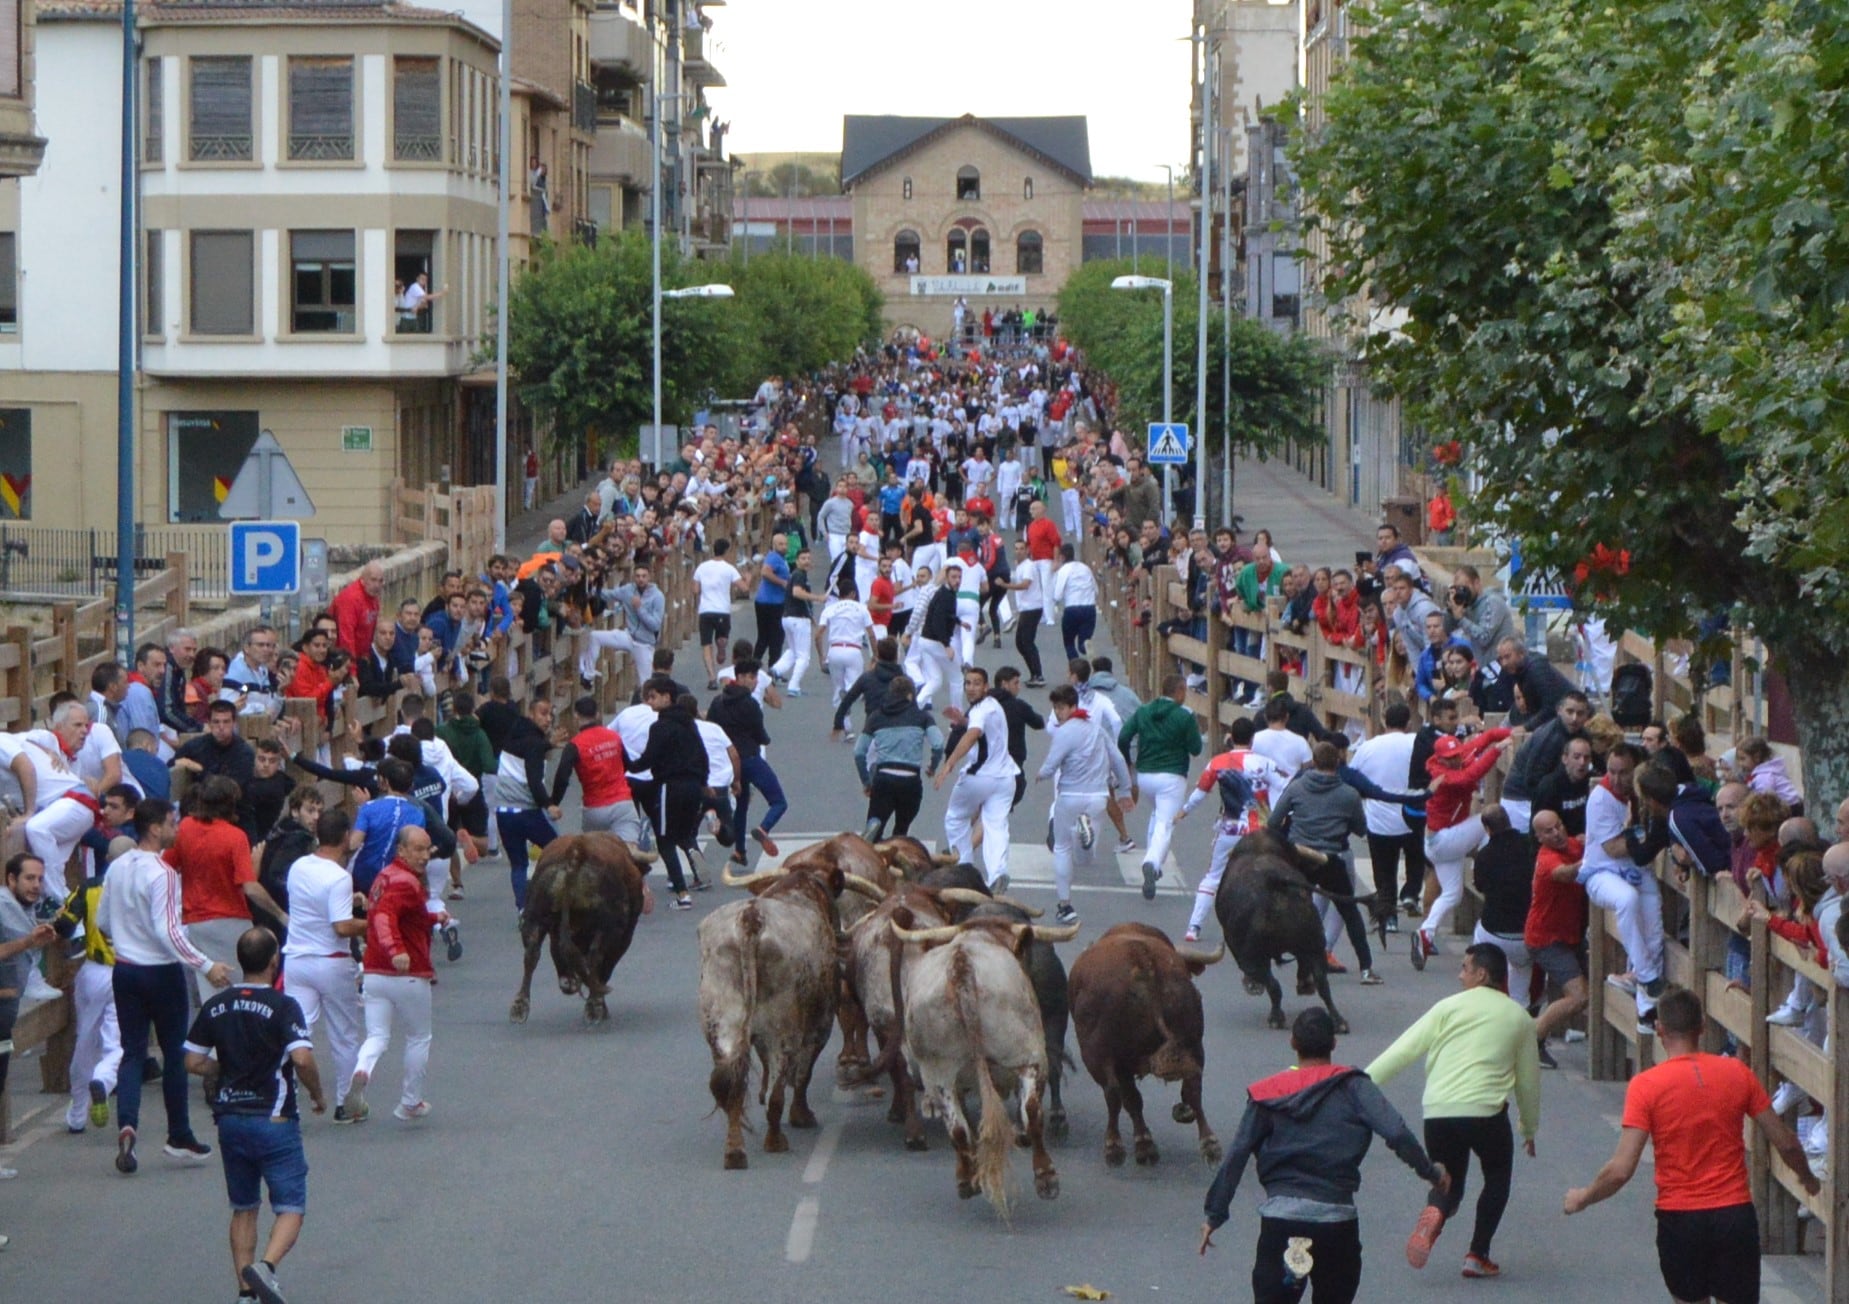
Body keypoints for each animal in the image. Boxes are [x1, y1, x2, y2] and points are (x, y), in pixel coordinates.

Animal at [506, 836, 650, 1028]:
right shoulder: (623, 937)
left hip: (535, 917)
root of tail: (576, 851)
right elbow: (602, 968)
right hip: (609, 929)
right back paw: (594, 1006)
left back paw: (521, 1006)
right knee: (595, 958)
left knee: (532, 954)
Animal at [698, 854, 850, 1168]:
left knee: (728, 1082)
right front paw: (801, 1115)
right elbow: (803, 1072)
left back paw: (735, 1151)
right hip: (784, 1030)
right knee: (777, 1086)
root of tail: (750, 919)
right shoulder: (821, 1023)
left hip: (721, 1023)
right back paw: (775, 1140)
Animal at [883, 910, 1079, 1213]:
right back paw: (1046, 1177)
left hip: (938, 1073)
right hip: (1028, 1055)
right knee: (1032, 1111)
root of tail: (962, 965)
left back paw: (967, 1182)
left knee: (957, 1128)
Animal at [1072, 921, 1227, 1161]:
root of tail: (1143, 959)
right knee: (1193, 1086)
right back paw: (1209, 1143)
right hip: (1193, 1041)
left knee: (1113, 1092)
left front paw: (1142, 1143)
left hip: (1097, 1053)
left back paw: (1114, 1146)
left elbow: (1128, 1098)